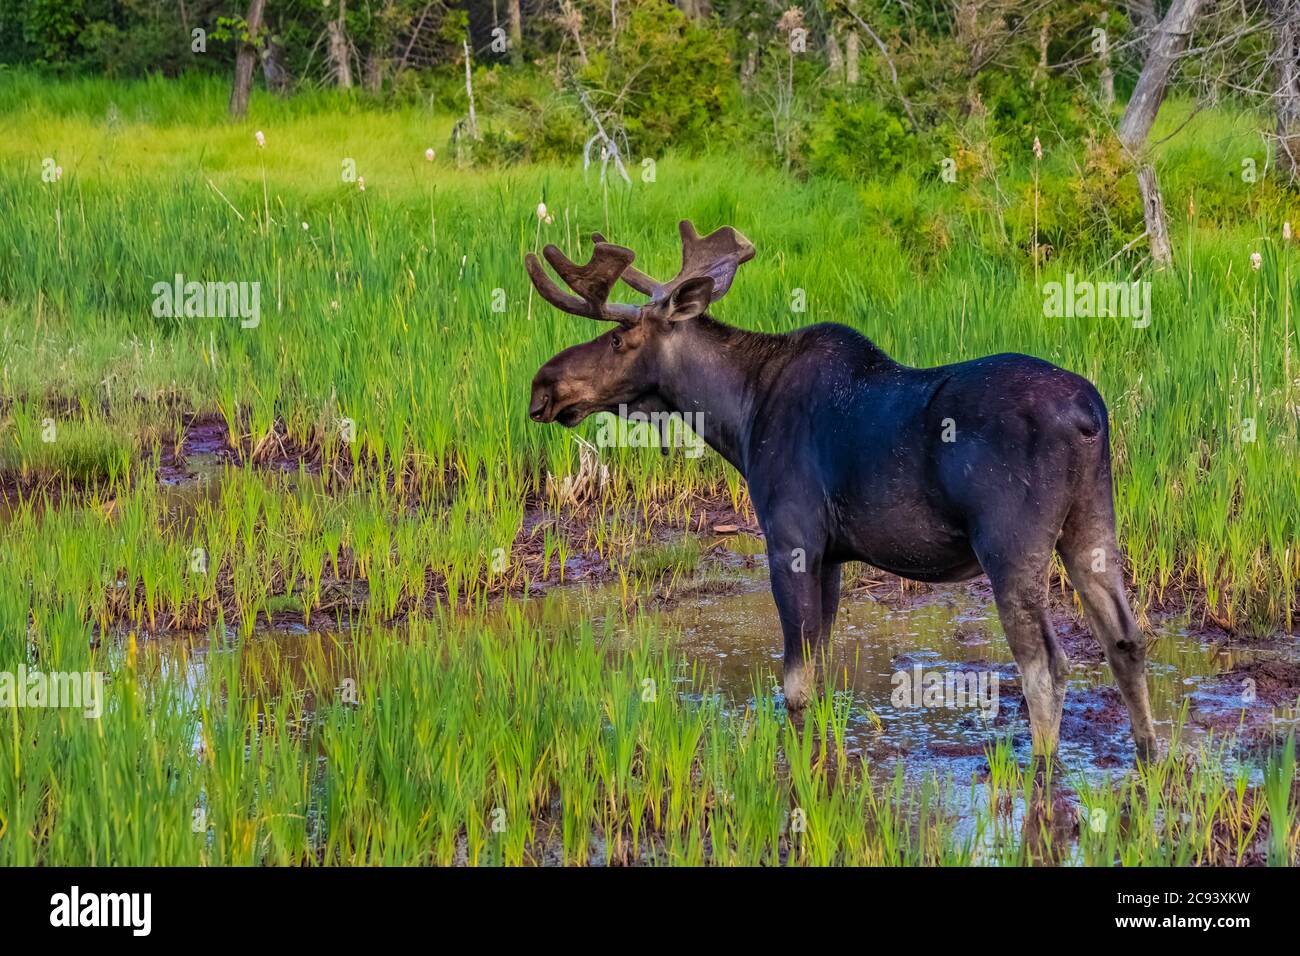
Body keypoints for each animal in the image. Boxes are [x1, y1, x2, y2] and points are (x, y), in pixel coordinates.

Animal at [525, 218, 1159, 764]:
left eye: (620, 337)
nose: (541, 386)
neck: (739, 416)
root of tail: (1088, 415)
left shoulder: (792, 539)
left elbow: (796, 686)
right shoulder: (831, 555)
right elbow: (823, 673)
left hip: (1009, 543)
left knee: (1047, 665)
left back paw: (1043, 767)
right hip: (1091, 523)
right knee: (1126, 639)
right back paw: (1150, 757)